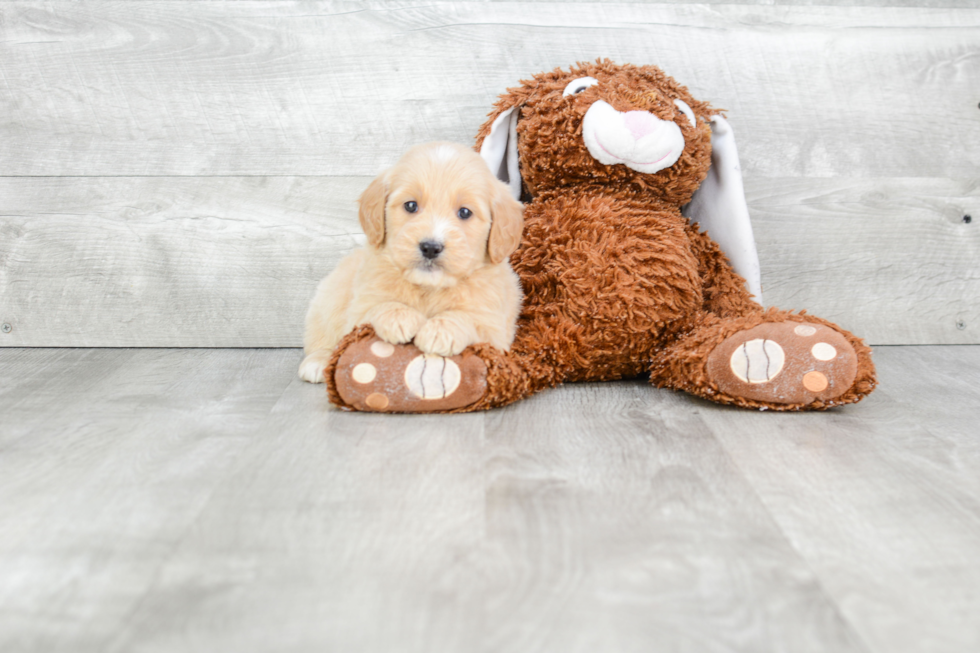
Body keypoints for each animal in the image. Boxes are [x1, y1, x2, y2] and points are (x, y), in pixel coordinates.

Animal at [298, 139, 524, 382]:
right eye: (410, 205)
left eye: (465, 212)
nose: (430, 248)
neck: (428, 287)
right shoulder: (359, 310)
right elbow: (378, 306)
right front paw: (399, 318)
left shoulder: (495, 331)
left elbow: (467, 318)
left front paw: (440, 330)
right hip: (329, 297)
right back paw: (318, 360)